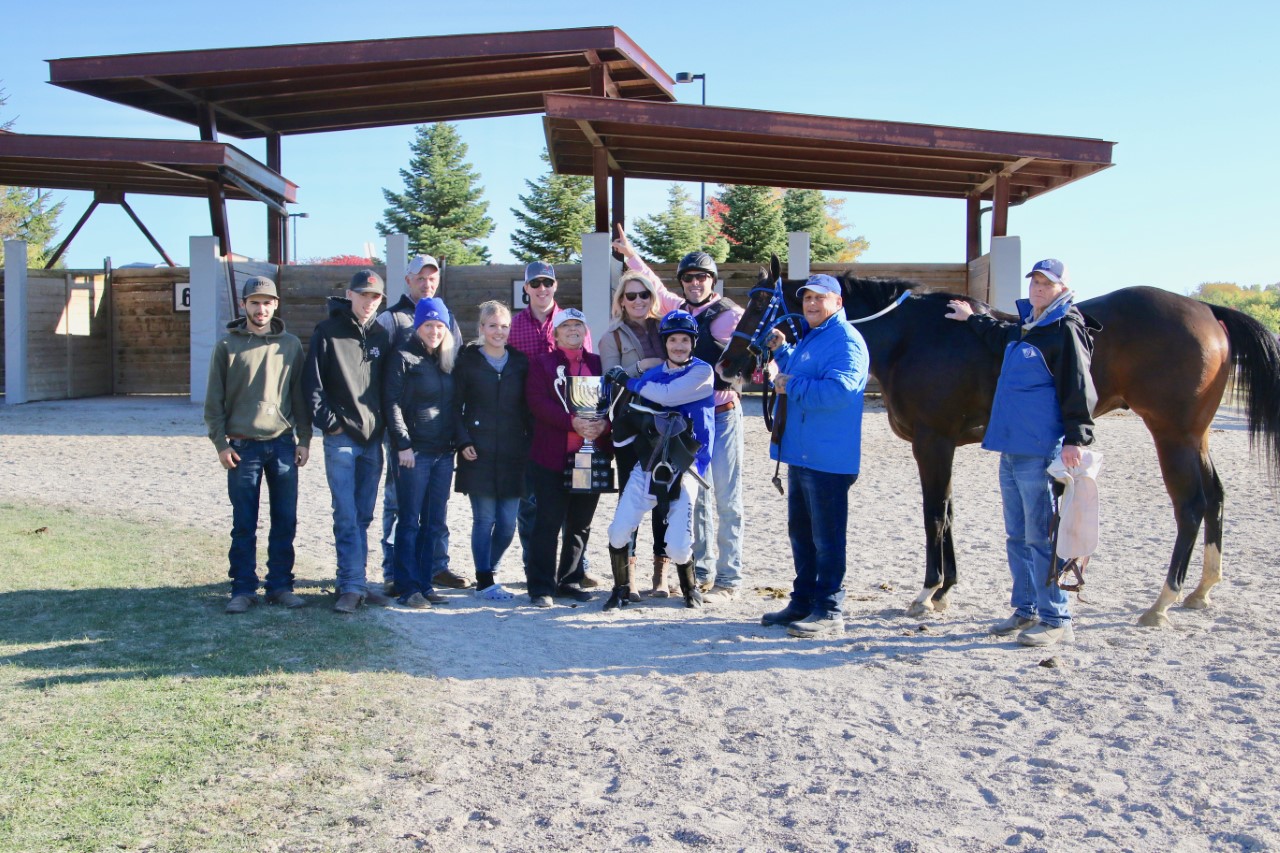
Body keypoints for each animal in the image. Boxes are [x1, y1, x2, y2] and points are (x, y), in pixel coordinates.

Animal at [721, 258, 1280, 625]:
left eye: (759, 303)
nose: (727, 364)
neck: (914, 335)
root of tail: (1206, 309)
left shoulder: (933, 442)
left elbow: (935, 512)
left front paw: (928, 592)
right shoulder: (942, 445)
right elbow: (948, 511)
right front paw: (946, 590)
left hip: (1173, 434)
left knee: (1191, 505)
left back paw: (1162, 601)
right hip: (1195, 436)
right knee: (1216, 498)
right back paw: (1201, 590)